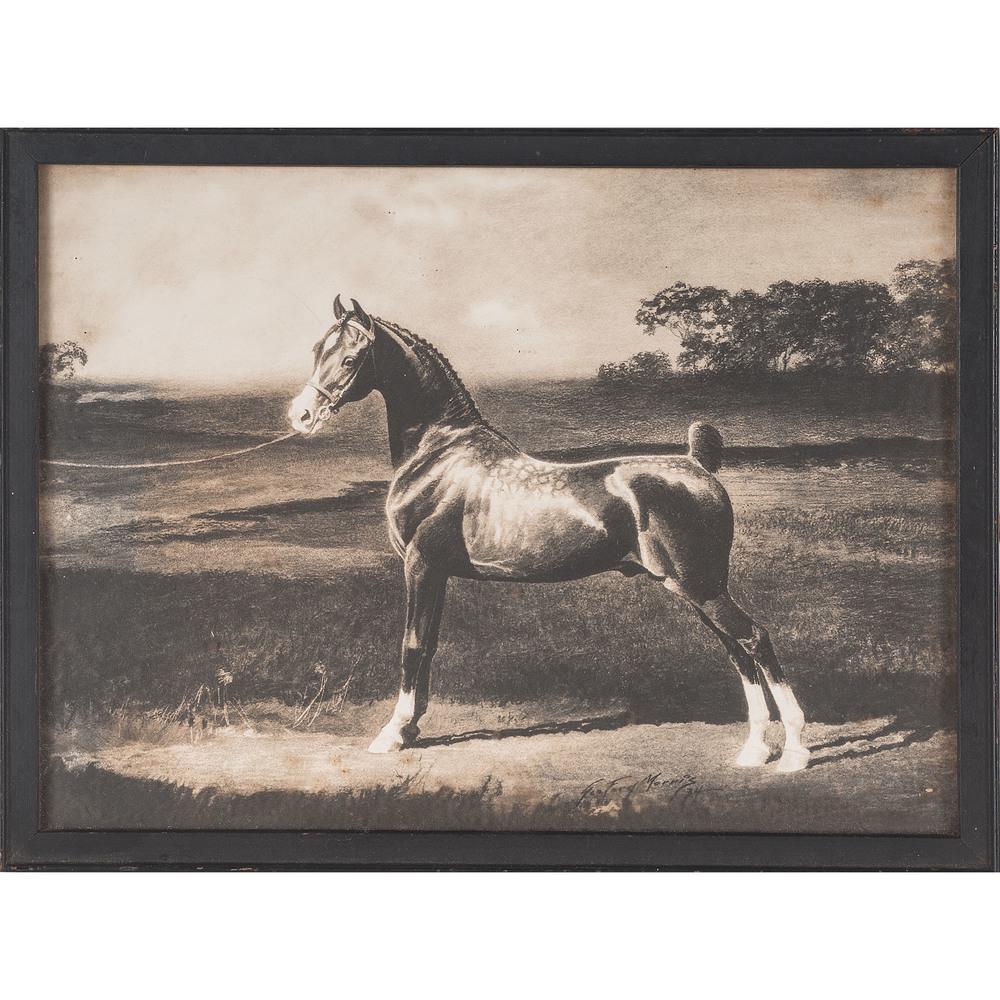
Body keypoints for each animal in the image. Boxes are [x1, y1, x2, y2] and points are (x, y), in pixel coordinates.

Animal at [288, 296, 810, 772]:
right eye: (317, 349)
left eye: (351, 358)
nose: (301, 416)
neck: (439, 454)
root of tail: (698, 464)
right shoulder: (437, 573)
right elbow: (429, 646)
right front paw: (412, 727)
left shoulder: (421, 566)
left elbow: (411, 647)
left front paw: (393, 733)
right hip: (700, 588)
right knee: (737, 650)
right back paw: (755, 749)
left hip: (699, 586)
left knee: (755, 640)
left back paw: (794, 752)